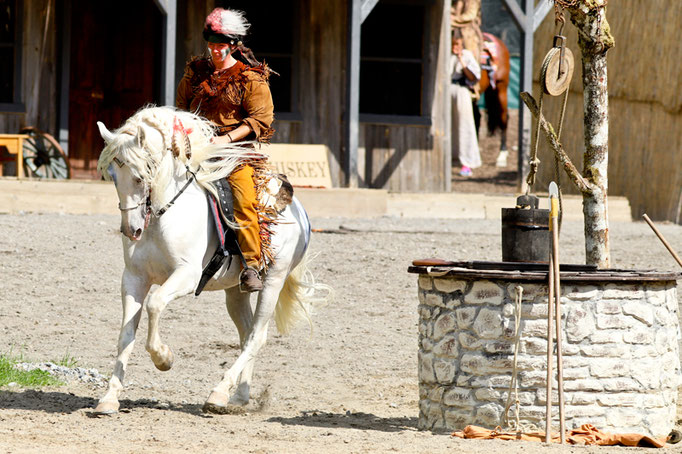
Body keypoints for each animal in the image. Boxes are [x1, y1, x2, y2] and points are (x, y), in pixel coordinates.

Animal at [92, 105, 330, 414]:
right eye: (112, 176)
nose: (131, 230)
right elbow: (125, 334)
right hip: (236, 292)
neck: (163, 215)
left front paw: (164, 358)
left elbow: (155, 304)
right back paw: (237, 395)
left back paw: (218, 393)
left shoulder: (187, 275)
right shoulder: (134, 278)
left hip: (273, 282)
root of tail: (299, 212)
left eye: (140, 176)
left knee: (257, 336)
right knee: (246, 334)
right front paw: (109, 397)